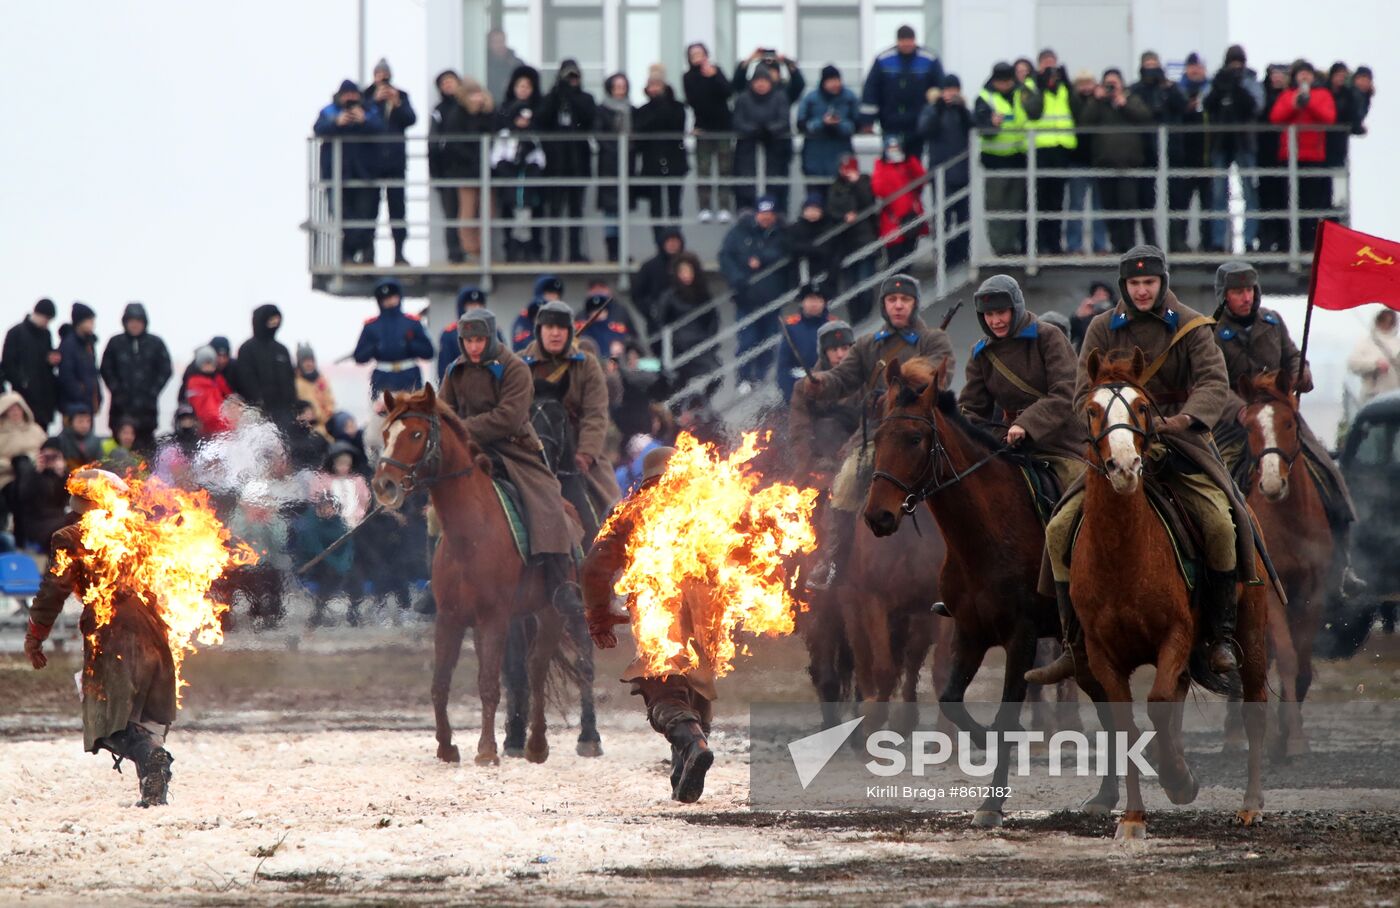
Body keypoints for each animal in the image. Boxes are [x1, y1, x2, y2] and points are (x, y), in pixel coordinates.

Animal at [375, 383, 571, 766]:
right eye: (386, 434)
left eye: (416, 434)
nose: (384, 485)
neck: (471, 532)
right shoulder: (450, 618)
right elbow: (440, 683)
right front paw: (446, 746)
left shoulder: (492, 617)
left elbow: (488, 684)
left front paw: (486, 750)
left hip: (550, 611)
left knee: (536, 668)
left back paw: (536, 744)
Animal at [862, 358, 1114, 822]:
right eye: (880, 437)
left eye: (915, 438)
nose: (878, 516)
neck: (989, 533)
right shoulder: (969, 633)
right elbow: (950, 699)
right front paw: (982, 744)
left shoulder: (1022, 636)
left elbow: (1008, 716)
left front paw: (992, 804)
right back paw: (1107, 795)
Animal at [1080, 346, 1271, 833]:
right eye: (1092, 409)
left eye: (1141, 407)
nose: (1124, 467)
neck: (1122, 554)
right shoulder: (1102, 654)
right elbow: (1127, 725)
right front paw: (1133, 816)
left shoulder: (1176, 636)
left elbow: (1159, 701)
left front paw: (1178, 780)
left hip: (1251, 633)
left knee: (1254, 706)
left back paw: (1250, 804)